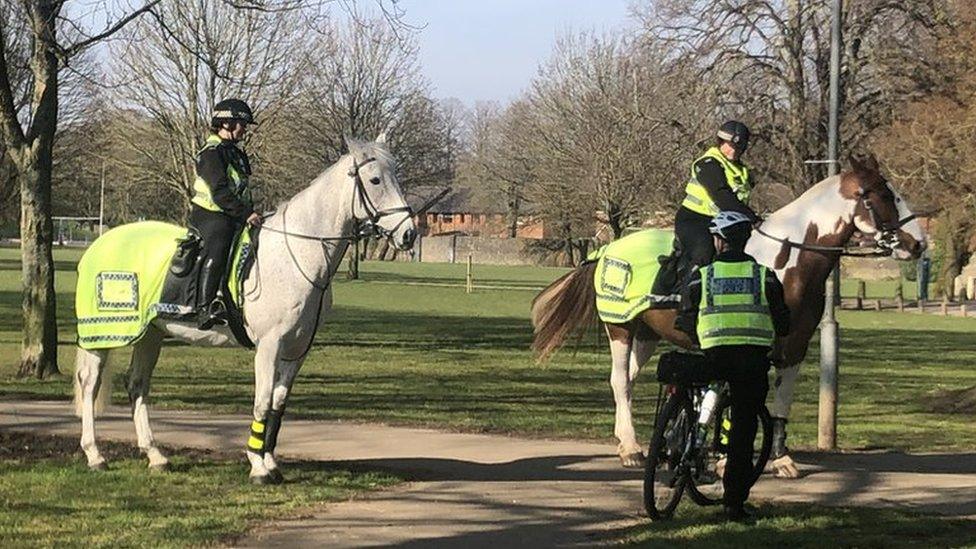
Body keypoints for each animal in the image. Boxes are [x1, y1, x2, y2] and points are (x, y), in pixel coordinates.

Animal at [532, 154, 924, 476]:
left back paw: (626, 443)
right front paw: (724, 457)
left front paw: (781, 458)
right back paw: (630, 448)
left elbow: (780, 402)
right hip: (621, 329)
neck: (786, 261)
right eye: (882, 194)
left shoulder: (794, 349)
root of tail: (608, 249)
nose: (918, 243)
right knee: (619, 381)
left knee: (626, 380)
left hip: (646, 334)